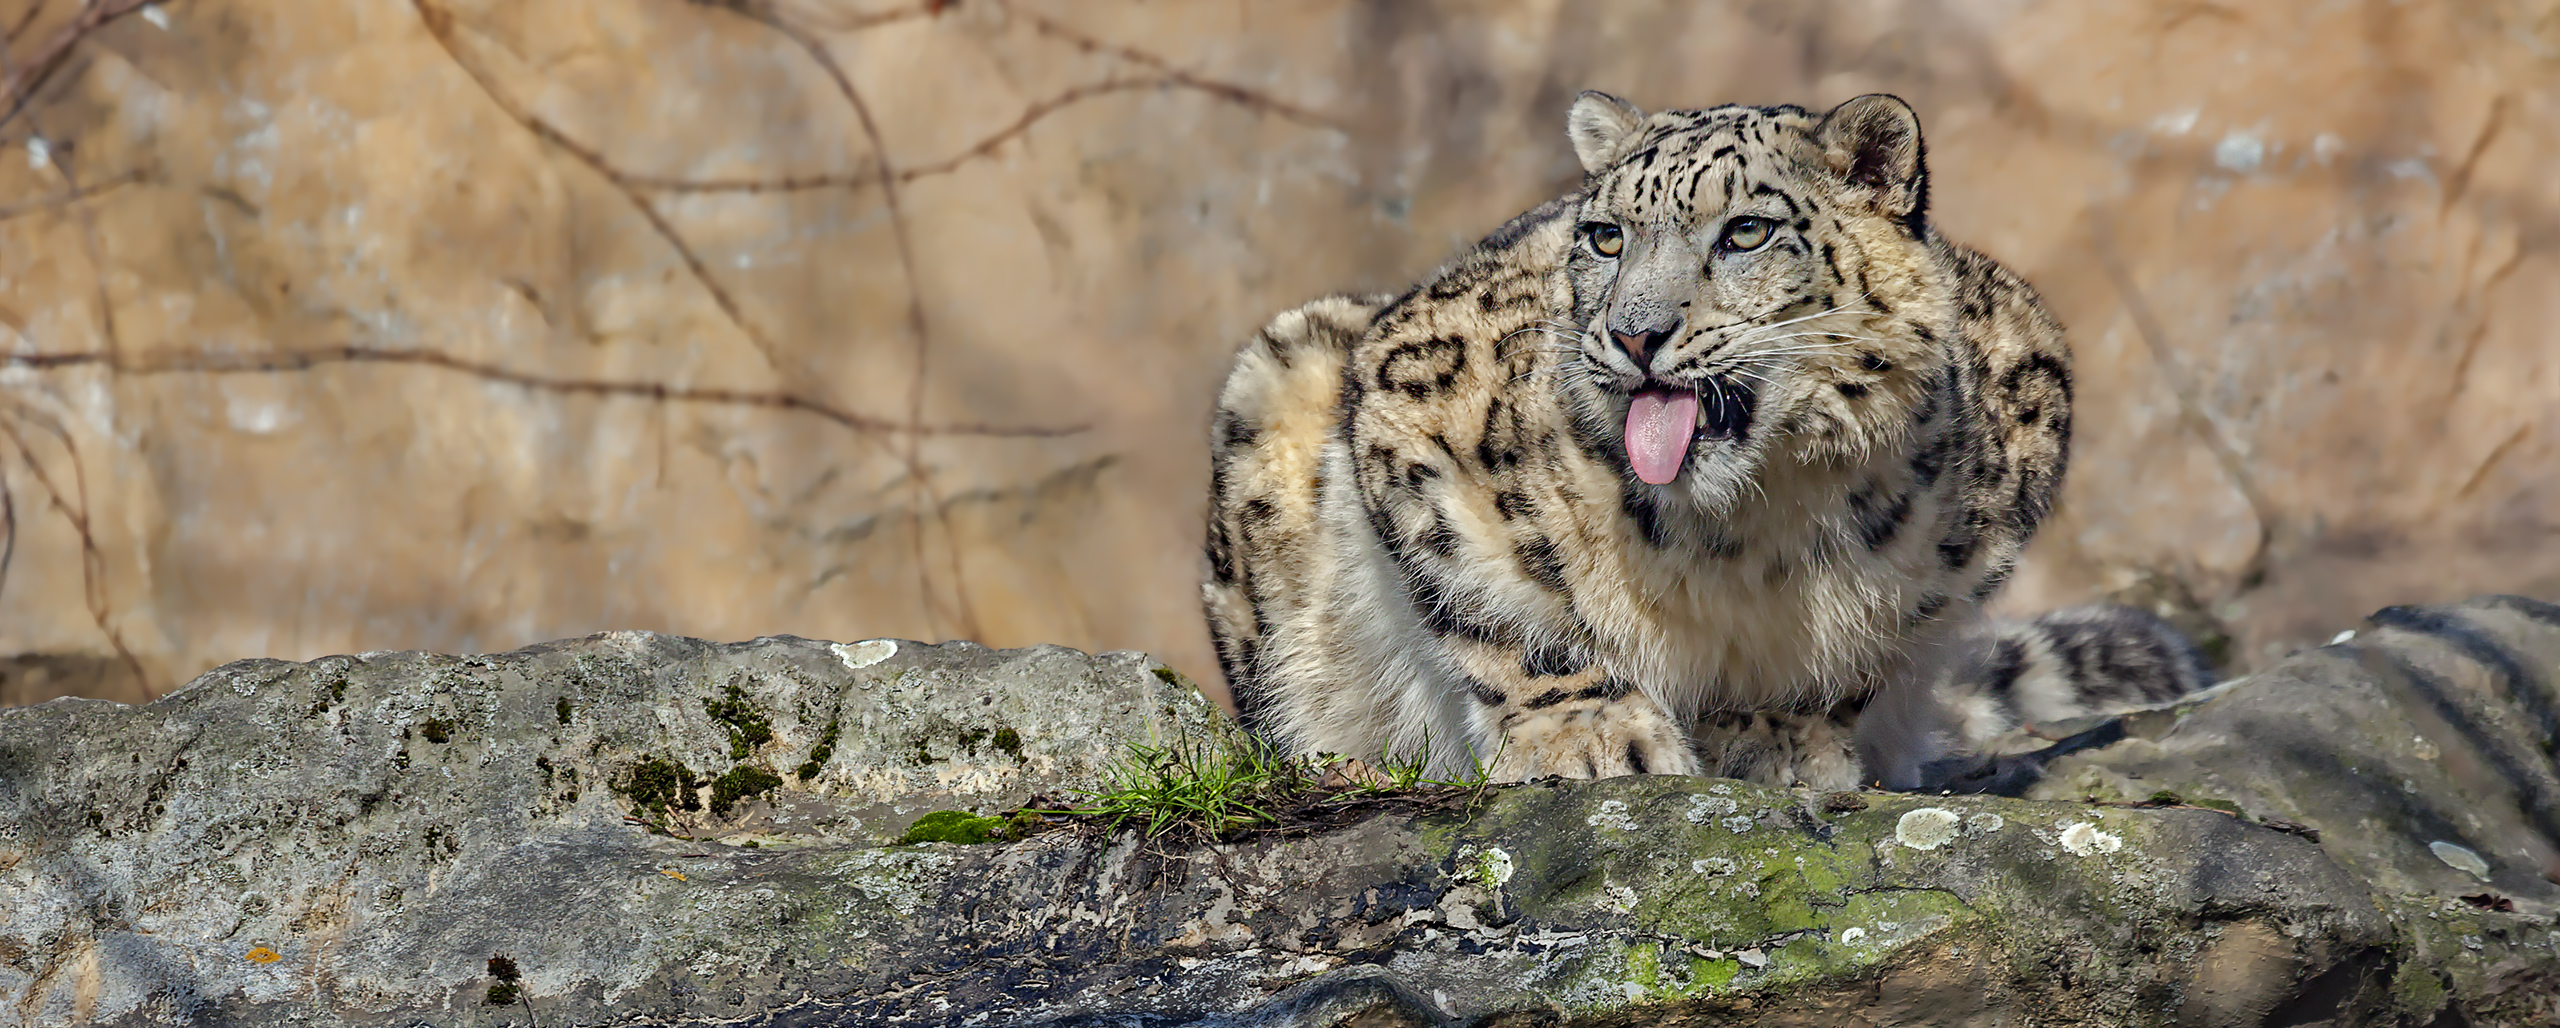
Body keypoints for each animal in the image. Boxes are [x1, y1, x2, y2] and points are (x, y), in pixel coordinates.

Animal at [1192, 92, 2201, 792]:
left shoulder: (2018, 426)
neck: (1757, 524)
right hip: (1278, 379)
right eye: (1605, 236)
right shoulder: (1415, 397)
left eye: (1746, 230)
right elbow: (1498, 609)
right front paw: (1592, 734)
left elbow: (1859, 659)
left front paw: (1778, 738)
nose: (1635, 334)